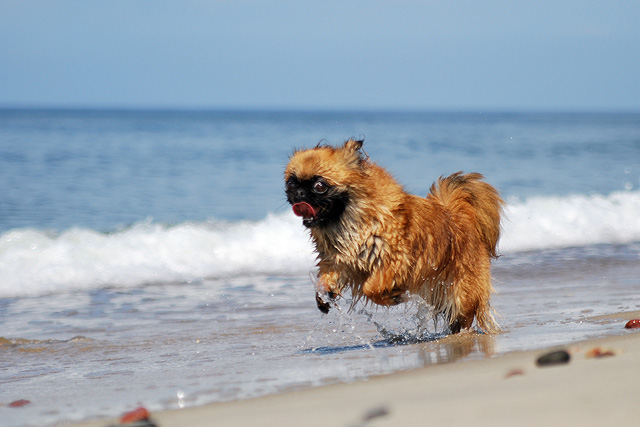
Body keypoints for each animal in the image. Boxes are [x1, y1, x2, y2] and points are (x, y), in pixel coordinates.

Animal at [284, 140, 504, 334]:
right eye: (291, 184)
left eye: (320, 186)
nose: (299, 193)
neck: (349, 224)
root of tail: (458, 215)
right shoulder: (340, 262)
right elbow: (326, 279)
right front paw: (324, 295)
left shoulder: (395, 261)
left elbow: (370, 287)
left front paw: (392, 297)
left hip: (462, 295)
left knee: (463, 316)